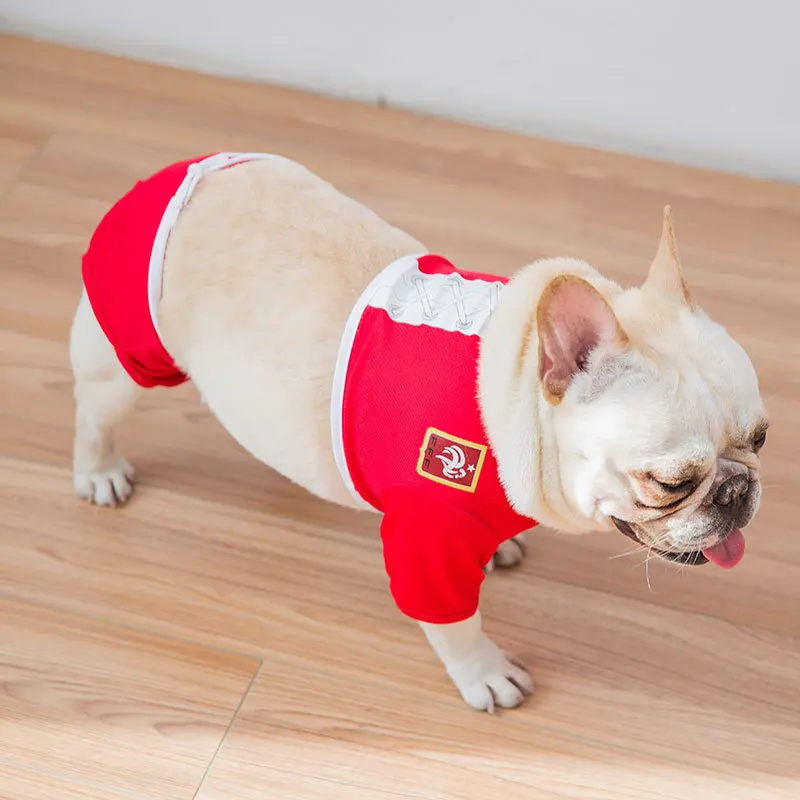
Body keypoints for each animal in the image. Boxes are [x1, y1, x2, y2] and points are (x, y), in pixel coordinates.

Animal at [70, 153, 768, 712]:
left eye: (760, 439)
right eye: (668, 483)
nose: (738, 492)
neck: (513, 391)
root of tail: (167, 178)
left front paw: (502, 549)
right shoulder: (428, 542)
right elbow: (454, 623)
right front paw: (485, 676)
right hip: (129, 355)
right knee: (95, 411)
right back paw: (99, 472)